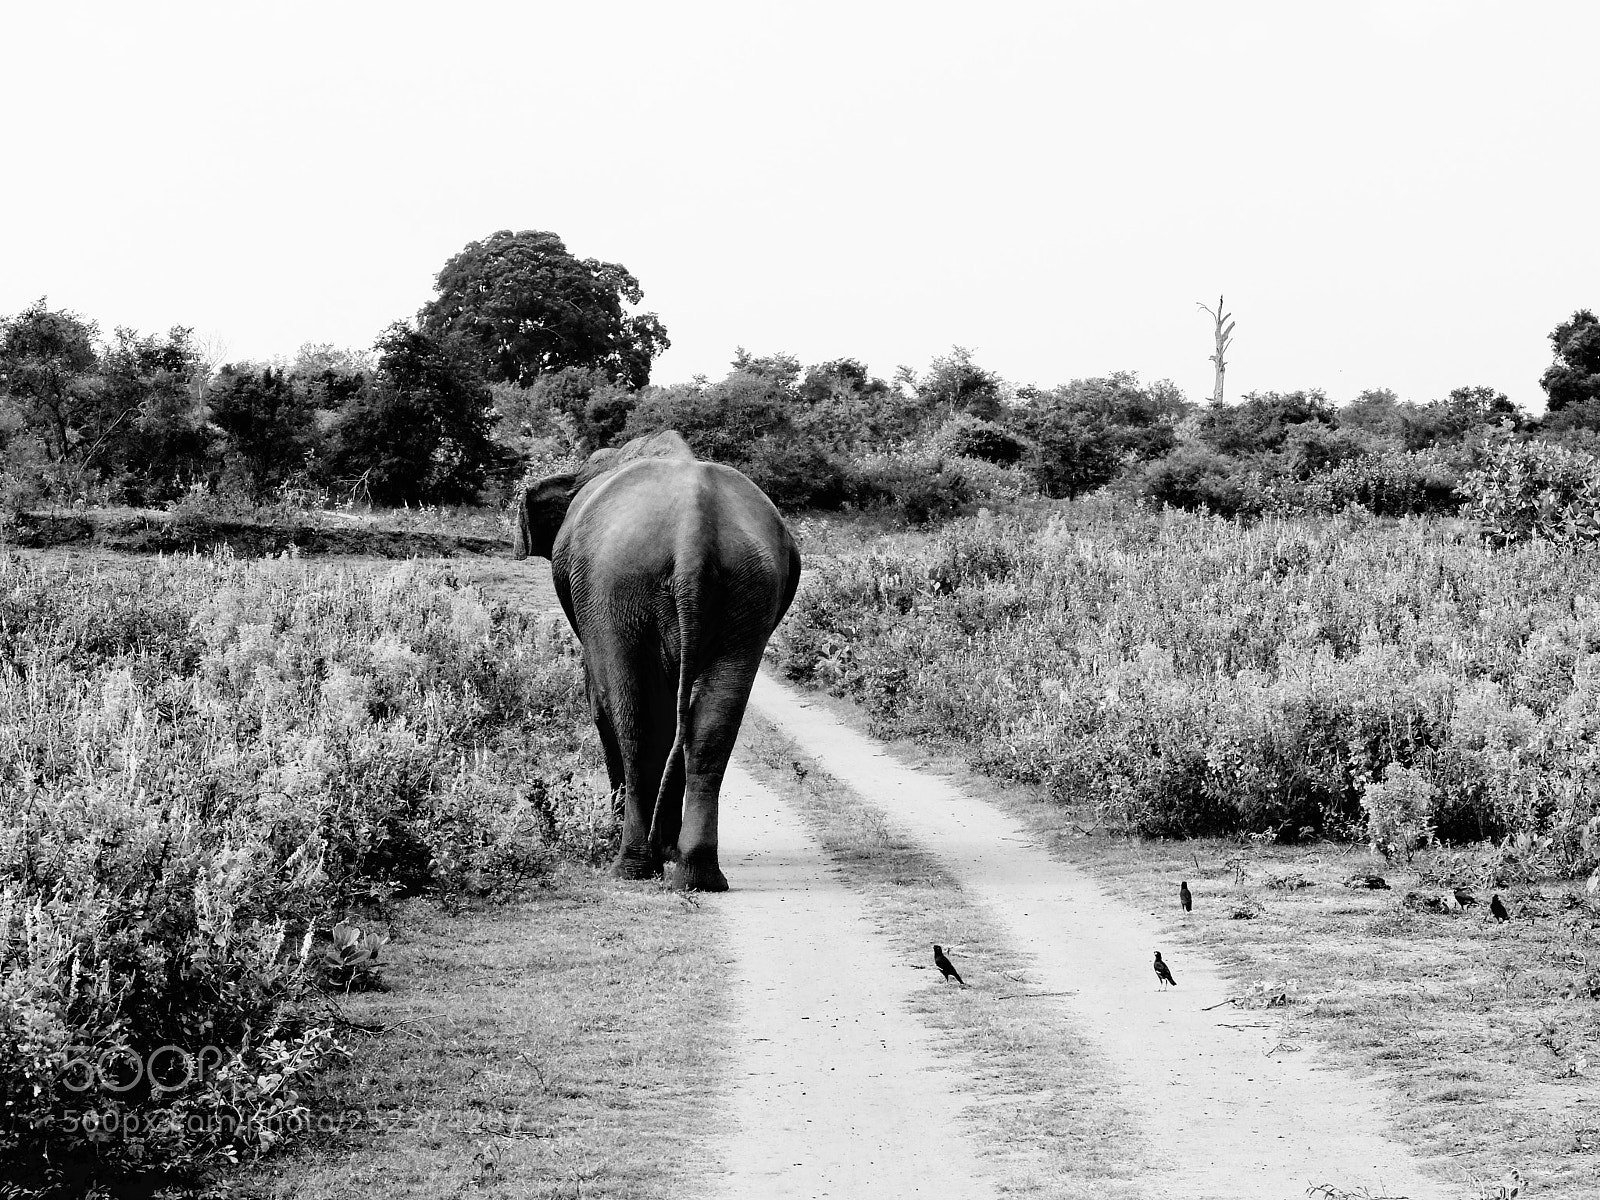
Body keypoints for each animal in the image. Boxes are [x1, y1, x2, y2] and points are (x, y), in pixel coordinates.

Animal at [512, 430, 801, 891]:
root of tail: (692, 532)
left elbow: (600, 702)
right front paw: (666, 848)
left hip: (615, 589)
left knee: (636, 724)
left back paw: (632, 865)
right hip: (750, 590)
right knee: (710, 728)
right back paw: (696, 876)